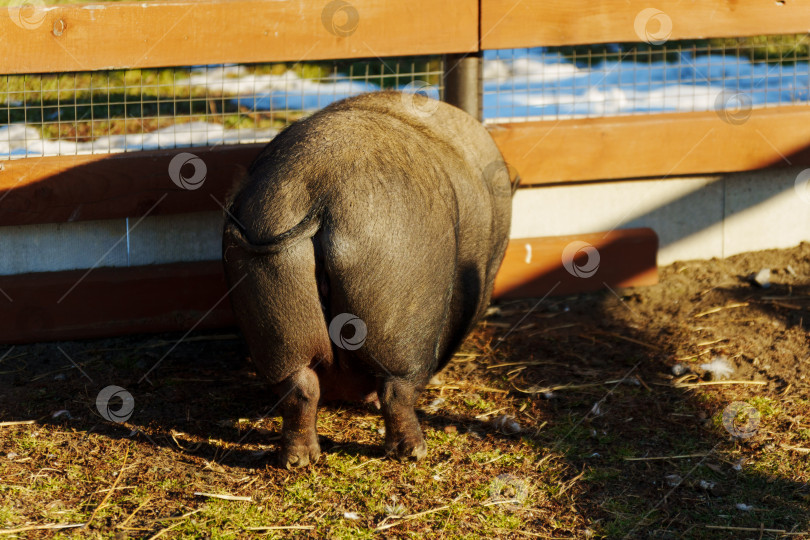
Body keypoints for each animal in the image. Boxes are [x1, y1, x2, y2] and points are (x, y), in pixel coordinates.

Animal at [222, 91, 513, 468]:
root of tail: (321, 192)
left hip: (273, 303)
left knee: (299, 388)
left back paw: (300, 460)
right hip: (400, 307)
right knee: (395, 391)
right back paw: (413, 452)